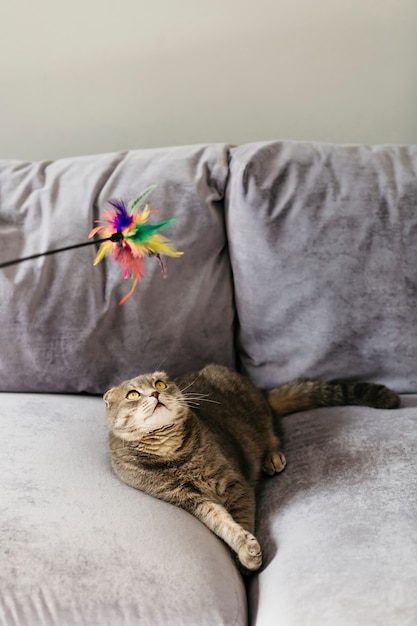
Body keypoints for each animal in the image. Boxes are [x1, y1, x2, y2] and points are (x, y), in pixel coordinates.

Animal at [102, 364, 398, 572]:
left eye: (160, 383)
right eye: (132, 394)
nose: (155, 393)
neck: (174, 456)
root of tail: (260, 391)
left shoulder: (234, 483)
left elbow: (243, 517)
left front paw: (246, 560)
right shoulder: (189, 500)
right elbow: (222, 522)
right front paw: (245, 549)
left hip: (257, 415)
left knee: (273, 432)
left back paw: (272, 457)